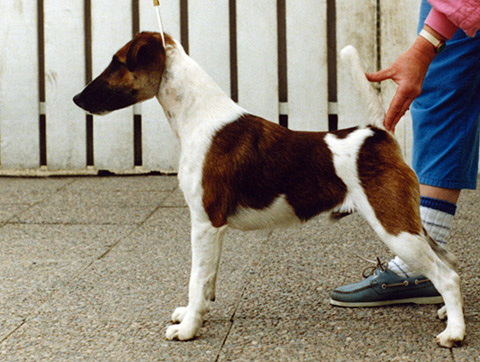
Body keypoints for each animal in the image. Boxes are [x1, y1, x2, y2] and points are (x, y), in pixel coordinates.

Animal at [74, 32, 464, 346]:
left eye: (118, 62)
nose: (78, 99)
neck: (198, 116)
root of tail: (376, 134)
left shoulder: (204, 223)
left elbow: (196, 279)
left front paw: (187, 330)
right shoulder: (213, 229)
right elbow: (208, 280)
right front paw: (193, 314)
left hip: (394, 225)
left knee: (447, 276)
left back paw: (454, 333)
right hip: (408, 224)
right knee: (449, 262)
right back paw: (448, 315)